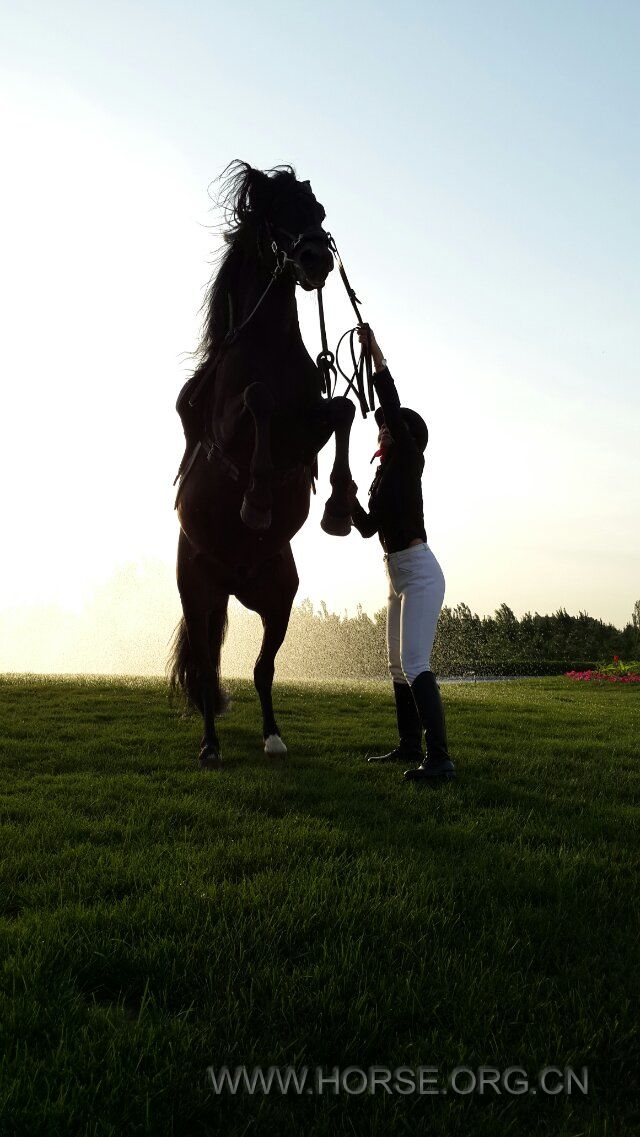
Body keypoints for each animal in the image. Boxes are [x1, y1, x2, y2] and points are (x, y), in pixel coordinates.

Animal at [169, 162, 354, 764]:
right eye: (276, 212)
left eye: (319, 212)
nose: (315, 259)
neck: (269, 348)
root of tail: (236, 579)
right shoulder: (233, 428)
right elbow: (258, 398)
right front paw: (254, 501)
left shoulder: (309, 432)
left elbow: (342, 409)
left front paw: (340, 506)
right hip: (198, 596)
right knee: (206, 669)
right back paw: (209, 746)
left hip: (279, 601)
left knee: (262, 667)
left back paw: (273, 737)